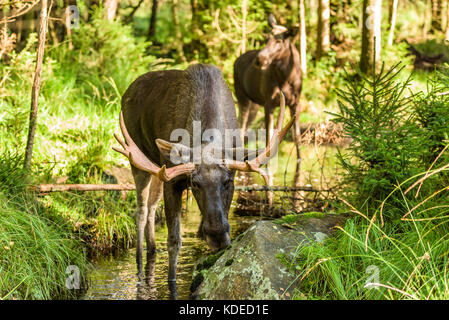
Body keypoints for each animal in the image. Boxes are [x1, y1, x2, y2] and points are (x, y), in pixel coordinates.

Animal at [114, 63, 292, 292]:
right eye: (195, 184)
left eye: (227, 182)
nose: (216, 233)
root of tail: (127, 90)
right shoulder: (173, 180)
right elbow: (174, 241)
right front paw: (172, 284)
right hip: (138, 158)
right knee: (142, 209)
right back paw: (139, 260)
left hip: (157, 168)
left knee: (153, 205)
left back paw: (153, 249)